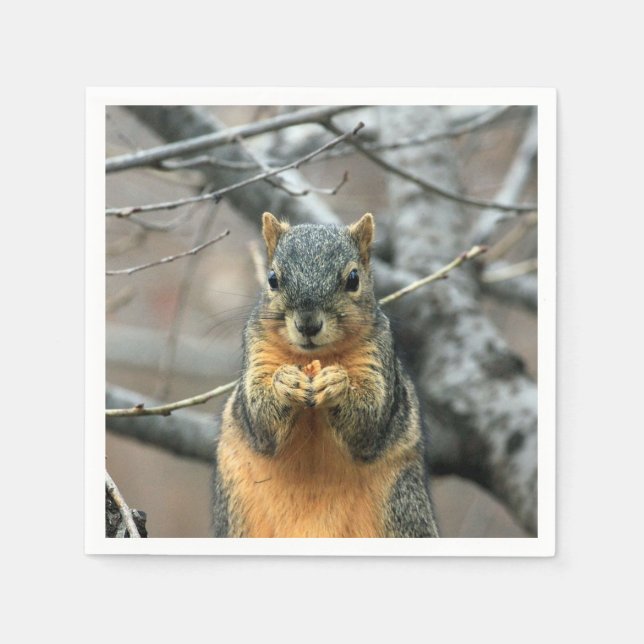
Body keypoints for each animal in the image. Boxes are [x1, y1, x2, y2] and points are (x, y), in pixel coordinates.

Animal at [212, 212, 439, 537]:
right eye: (272, 279)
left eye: (353, 279)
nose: (308, 324)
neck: (312, 358)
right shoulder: (257, 352)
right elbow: (259, 418)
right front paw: (284, 383)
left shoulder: (377, 357)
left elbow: (369, 419)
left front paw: (337, 384)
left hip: (403, 507)